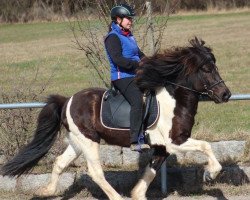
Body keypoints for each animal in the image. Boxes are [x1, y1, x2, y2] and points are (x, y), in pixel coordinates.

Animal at [0, 37, 230, 198]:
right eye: (206, 69)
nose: (225, 94)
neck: (173, 100)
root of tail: (67, 100)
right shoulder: (174, 142)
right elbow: (206, 146)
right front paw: (211, 173)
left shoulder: (162, 147)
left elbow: (150, 173)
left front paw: (137, 194)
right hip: (89, 141)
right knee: (96, 172)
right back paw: (115, 197)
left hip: (76, 141)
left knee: (59, 163)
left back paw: (45, 191)